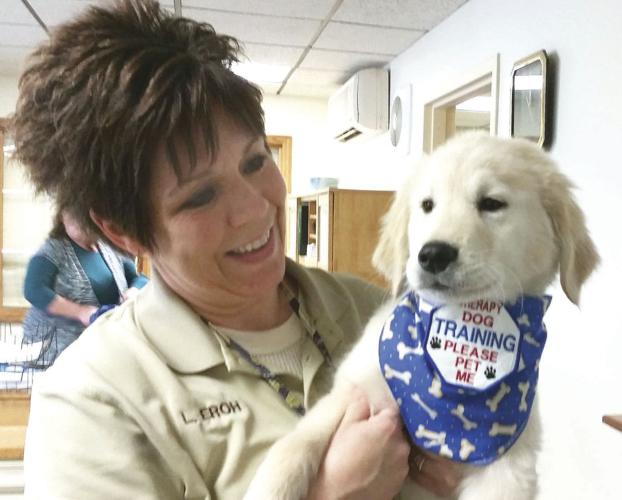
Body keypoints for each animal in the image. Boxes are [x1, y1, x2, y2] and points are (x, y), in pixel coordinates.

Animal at [246, 133, 604, 500]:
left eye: (492, 203)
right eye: (427, 205)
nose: (432, 254)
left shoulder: (509, 464)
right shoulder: (356, 392)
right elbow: (298, 442)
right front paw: (269, 487)